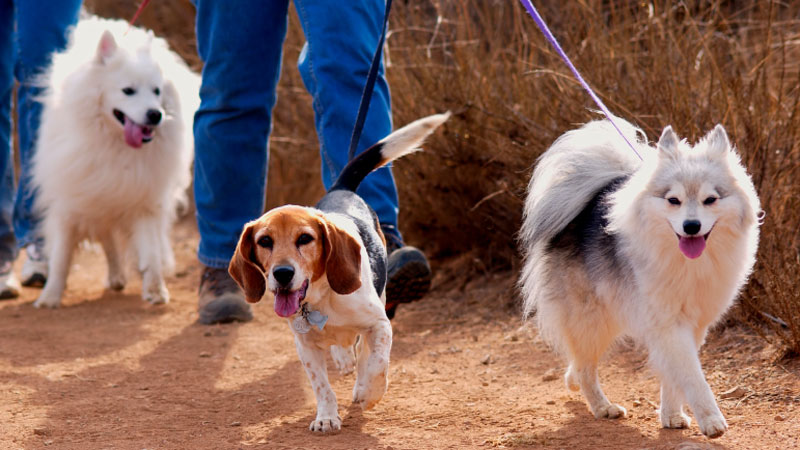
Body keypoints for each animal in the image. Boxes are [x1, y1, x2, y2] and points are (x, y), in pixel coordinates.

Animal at [32, 15, 198, 308]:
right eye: (128, 91)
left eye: (156, 91)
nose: (155, 114)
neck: (116, 145)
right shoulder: (70, 201)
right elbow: (61, 257)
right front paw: (50, 296)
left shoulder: (144, 201)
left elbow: (151, 253)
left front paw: (156, 290)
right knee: (108, 240)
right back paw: (116, 276)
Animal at [520, 119, 764, 440]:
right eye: (673, 200)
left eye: (710, 200)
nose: (691, 226)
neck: (685, 261)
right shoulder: (668, 322)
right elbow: (692, 375)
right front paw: (711, 419)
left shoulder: (691, 325)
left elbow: (675, 373)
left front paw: (671, 415)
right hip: (592, 318)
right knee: (587, 368)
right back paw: (603, 407)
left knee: (580, 362)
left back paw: (573, 380)